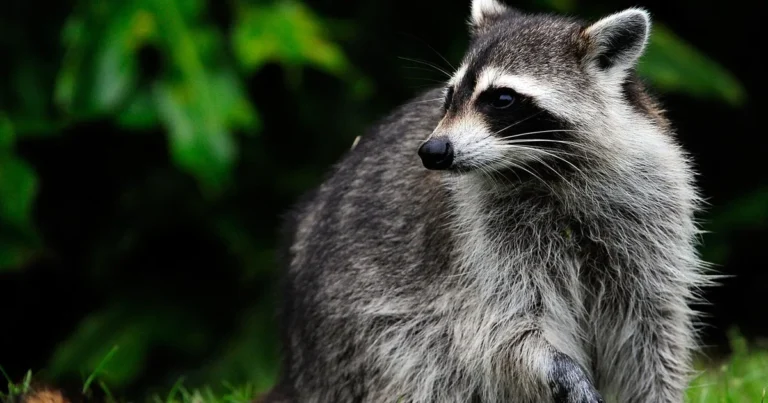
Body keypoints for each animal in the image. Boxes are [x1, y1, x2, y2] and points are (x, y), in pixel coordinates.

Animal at [265, 1, 709, 402]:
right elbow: (502, 328)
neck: (543, 168)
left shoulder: (649, 208)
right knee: (426, 365)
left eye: (502, 99)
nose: (433, 151)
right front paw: (557, 367)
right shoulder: (481, 239)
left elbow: (652, 327)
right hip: (361, 334)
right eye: (449, 97)